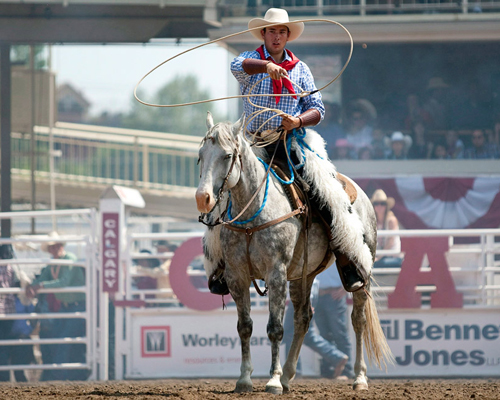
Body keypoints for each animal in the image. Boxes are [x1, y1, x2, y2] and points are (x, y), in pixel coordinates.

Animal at [197, 112, 392, 394]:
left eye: (226, 155)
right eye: (200, 155)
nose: (202, 198)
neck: (252, 214)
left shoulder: (276, 273)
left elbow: (275, 329)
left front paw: (273, 380)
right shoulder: (236, 276)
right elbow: (245, 327)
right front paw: (245, 379)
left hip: (361, 267)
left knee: (358, 319)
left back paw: (359, 377)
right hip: (304, 275)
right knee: (303, 318)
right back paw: (289, 375)